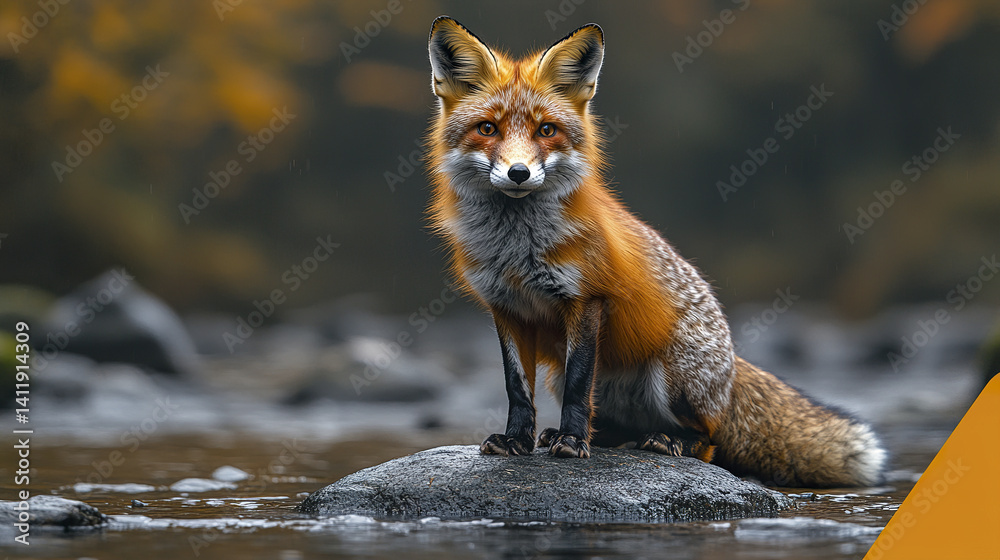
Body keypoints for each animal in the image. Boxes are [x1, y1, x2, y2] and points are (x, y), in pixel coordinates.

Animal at [425, 16, 887, 487]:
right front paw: (517, 441)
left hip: (672, 378)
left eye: (546, 130)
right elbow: (516, 388)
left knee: (706, 441)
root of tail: (733, 365)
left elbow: (577, 388)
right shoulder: (507, 308)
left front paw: (571, 444)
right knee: (613, 428)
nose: (519, 173)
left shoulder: (586, 300)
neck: (517, 251)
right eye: (488, 129)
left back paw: (667, 441)